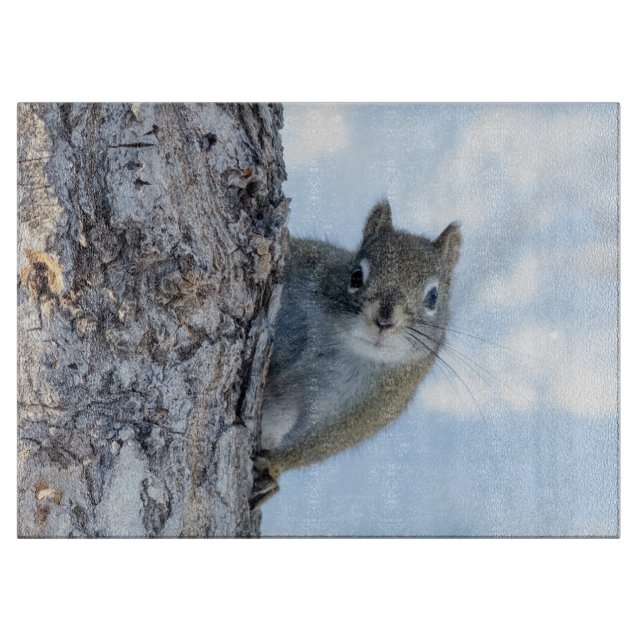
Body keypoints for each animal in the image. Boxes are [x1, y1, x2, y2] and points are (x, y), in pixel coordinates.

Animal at [251, 200, 462, 508]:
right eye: (356, 276)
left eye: (433, 298)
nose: (384, 320)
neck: (346, 346)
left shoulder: (370, 407)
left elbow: (324, 440)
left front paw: (274, 467)